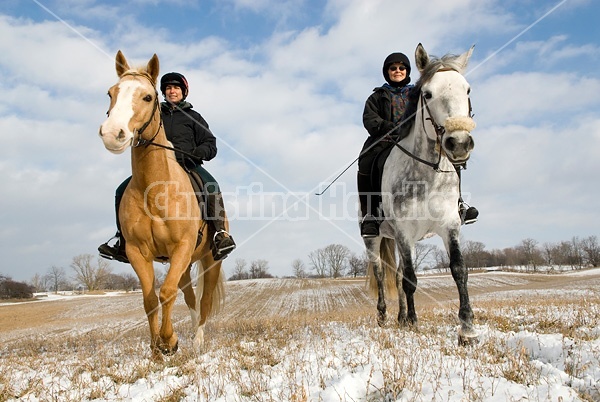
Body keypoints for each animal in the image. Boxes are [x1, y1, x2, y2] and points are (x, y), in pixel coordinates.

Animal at [98, 51, 225, 358]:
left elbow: (166, 293)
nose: (112, 133)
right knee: (189, 297)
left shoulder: (182, 247)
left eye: (147, 97)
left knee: (202, 302)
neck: (154, 189)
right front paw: (157, 348)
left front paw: (169, 341)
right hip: (184, 264)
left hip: (209, 260)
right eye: (111, 93)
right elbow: (150, 299)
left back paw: (198, 341)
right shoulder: (137, 252)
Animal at [366, 44, 478, 346]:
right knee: (381, 273)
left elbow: (459, 270)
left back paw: (401, 317)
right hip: (374, 239)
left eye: (467, 90)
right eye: (427, 94)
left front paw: (467, 328)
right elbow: (410, 280)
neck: (428, 173)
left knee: (398, 274)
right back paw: (383, 317)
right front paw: (414, 324)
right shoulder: (404, 231)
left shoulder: (449, 225)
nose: (459, 143)